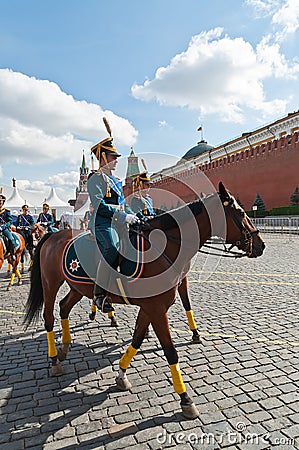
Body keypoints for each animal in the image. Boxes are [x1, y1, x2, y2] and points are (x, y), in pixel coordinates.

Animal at [24, 183, 266, 418]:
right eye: (240, 212)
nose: (261, 244)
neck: (165, 247)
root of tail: (53, 235)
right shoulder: (157, 309)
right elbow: (170, 352)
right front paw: (185, 399)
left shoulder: (152, 307)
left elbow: (137, 339)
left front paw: (121, 375)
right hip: (50, 283)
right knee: (49, 317)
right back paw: (55, 360)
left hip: (77, 287)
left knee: (64, 307)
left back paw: (65, 347)